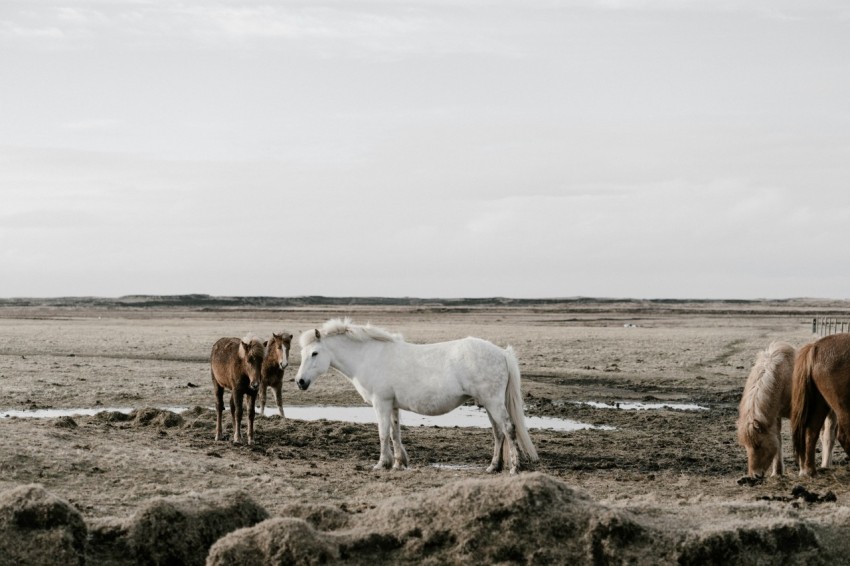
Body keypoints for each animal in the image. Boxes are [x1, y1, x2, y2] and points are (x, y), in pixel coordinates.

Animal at [294, 318, 538, 474]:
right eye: (302, 353)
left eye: (314, 353)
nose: (300, 382)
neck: (368, 356)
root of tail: (502, 353)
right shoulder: (392, 406)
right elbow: (395, 434)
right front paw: (398, 463)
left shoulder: (381, 404)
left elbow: (383, 434)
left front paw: (382, 464)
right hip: (488, 404)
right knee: (498, 434)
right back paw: (493, 467)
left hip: (493, 403)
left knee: (508, 429)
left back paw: (514, 468)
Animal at [737, 341, 836, 481]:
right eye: (746, 446)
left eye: (759, 444)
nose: (755, 475)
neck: (784, 378)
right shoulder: (776, 417)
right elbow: (778, 440)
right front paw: (777, 472)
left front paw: (803, 471)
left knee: (828, 436)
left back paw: (826, 466)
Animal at [791, 332, 850, 476]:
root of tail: (816, 347)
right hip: (843, 406)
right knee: (844, 436)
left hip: (821, 403)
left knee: (811, 431)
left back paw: (810, 470)